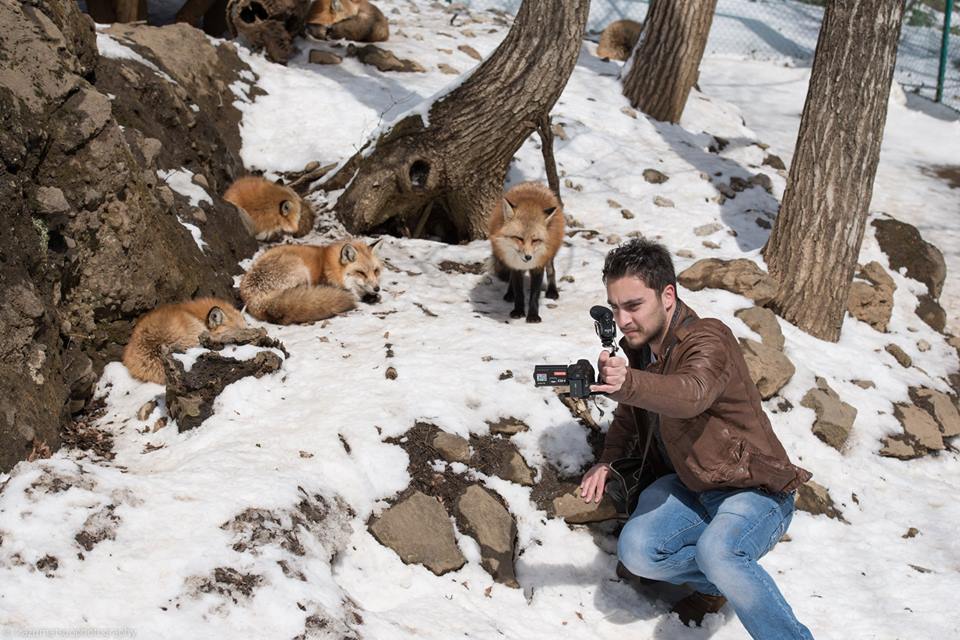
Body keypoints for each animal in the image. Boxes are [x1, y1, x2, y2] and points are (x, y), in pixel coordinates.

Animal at [488, 181, 564, 324]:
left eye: (535, 240)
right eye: (519, 238)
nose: (528, 257)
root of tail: (533, 183)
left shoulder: (538, 266)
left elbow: (535, 294)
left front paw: (533, 316)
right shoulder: (516, 266)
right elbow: (519, 291)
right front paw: (518, 311)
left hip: (550, 255)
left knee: (551, 270)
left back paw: (552, 291)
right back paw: (509, 294)